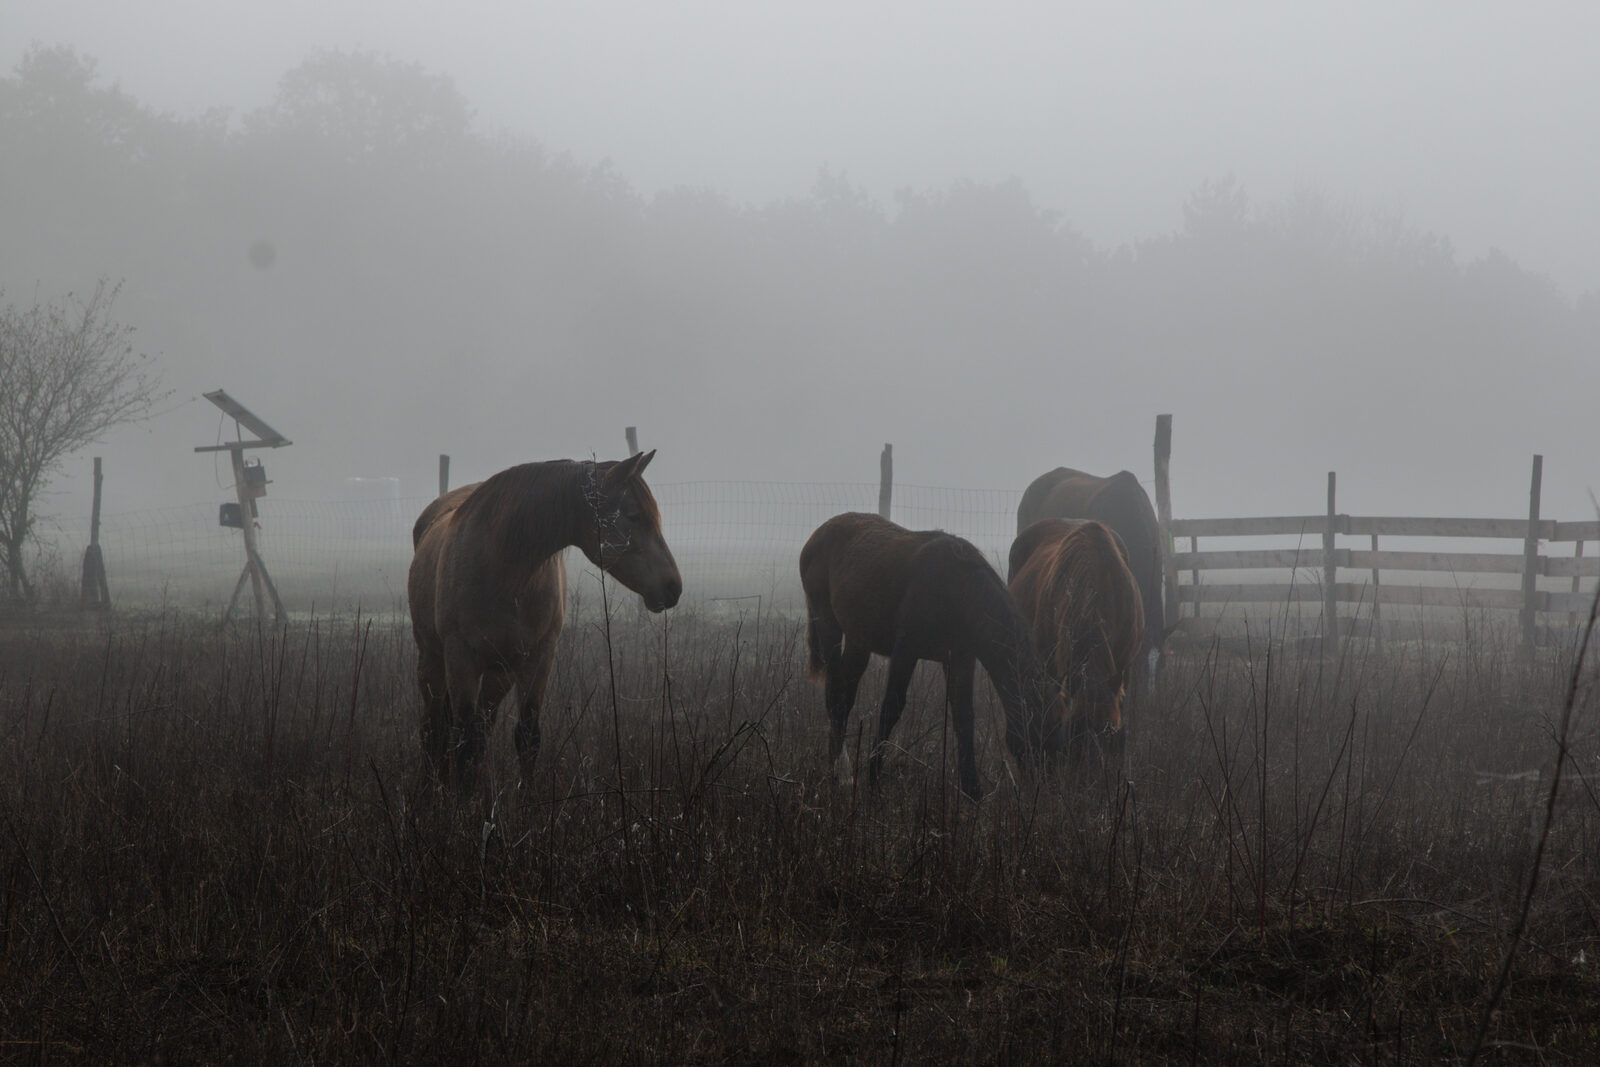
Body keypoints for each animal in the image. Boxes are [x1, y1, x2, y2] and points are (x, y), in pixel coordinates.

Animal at [407, 450, 682, 790]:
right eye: (633, 515)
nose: (673, 587)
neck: (503, 567)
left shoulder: (538, 656)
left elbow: (527, 738)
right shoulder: (461, 658)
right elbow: (463, 742)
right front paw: (461, 802)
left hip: (500, 672)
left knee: (480, 730)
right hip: (432, 661)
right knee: (434, 731)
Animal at [800, 511, 1060, 800]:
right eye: (1039, 733)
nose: (1046, 789)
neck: (959, 592)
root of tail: (818, 534)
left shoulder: (960, 658)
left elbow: (964, 717)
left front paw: (973, 790)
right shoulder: (906, 651)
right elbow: (891, 708)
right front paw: (873, 779)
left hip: (859, 640)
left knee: (844, 694)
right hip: (828, 625)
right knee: (835, 692)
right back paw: (841, 770)